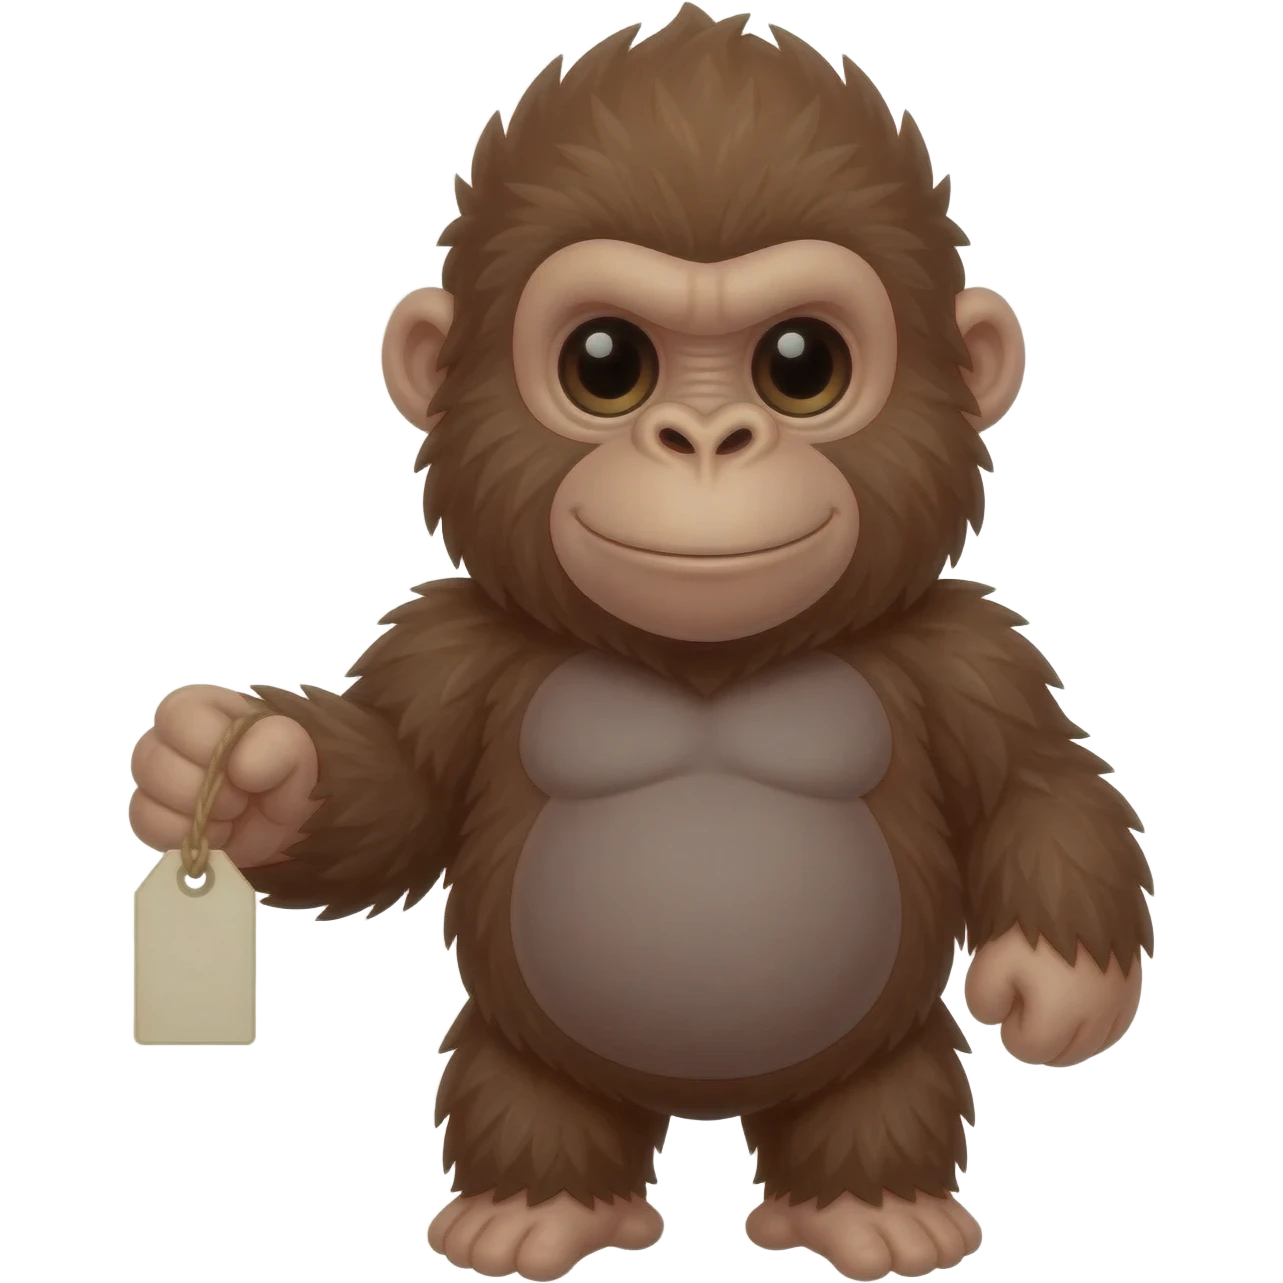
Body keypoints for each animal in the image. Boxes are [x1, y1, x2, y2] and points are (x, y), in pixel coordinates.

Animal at [127, 7, 1153, 1281]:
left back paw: (870, 1208)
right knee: (526, 1096)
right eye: (605, 363)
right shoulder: (455, 644)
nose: (703, 437)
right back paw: (538, 1209)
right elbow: (397, 787)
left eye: (799, 363)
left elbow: (1033, 780)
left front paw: (1060, 978)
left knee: (882, 1094)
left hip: (878, 1048)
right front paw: (243, 768)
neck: (701, 662)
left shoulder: (964, 648)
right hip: (524, 1046)